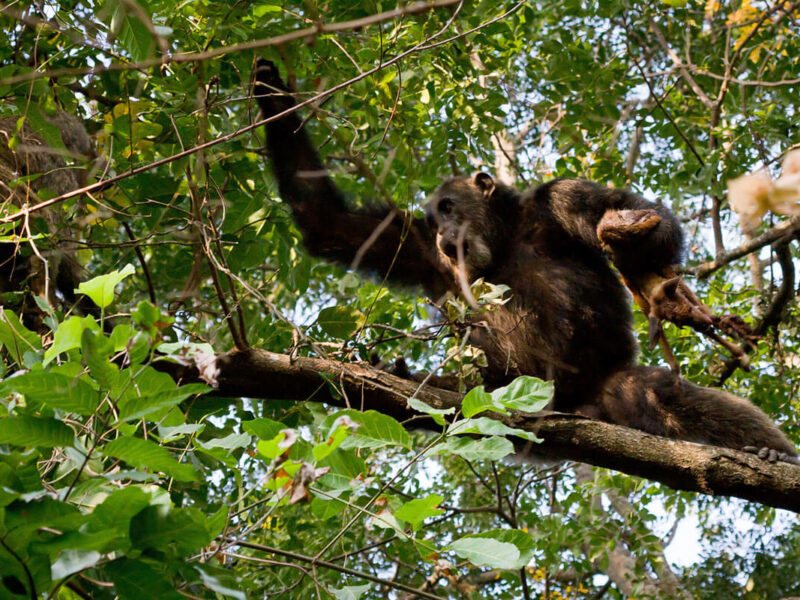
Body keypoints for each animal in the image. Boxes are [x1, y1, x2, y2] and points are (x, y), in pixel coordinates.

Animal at [252, 59, 797, 463]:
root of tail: (580, 407)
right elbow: (328, 221)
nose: (444, 233)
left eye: (448, 207)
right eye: (431, 218)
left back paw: (771, 454)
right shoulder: (419, 251)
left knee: (666, 396)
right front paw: (268, 90)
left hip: (610, 390)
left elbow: (638, 219)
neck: (506, 234)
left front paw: (627, 239)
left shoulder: (564, 196)